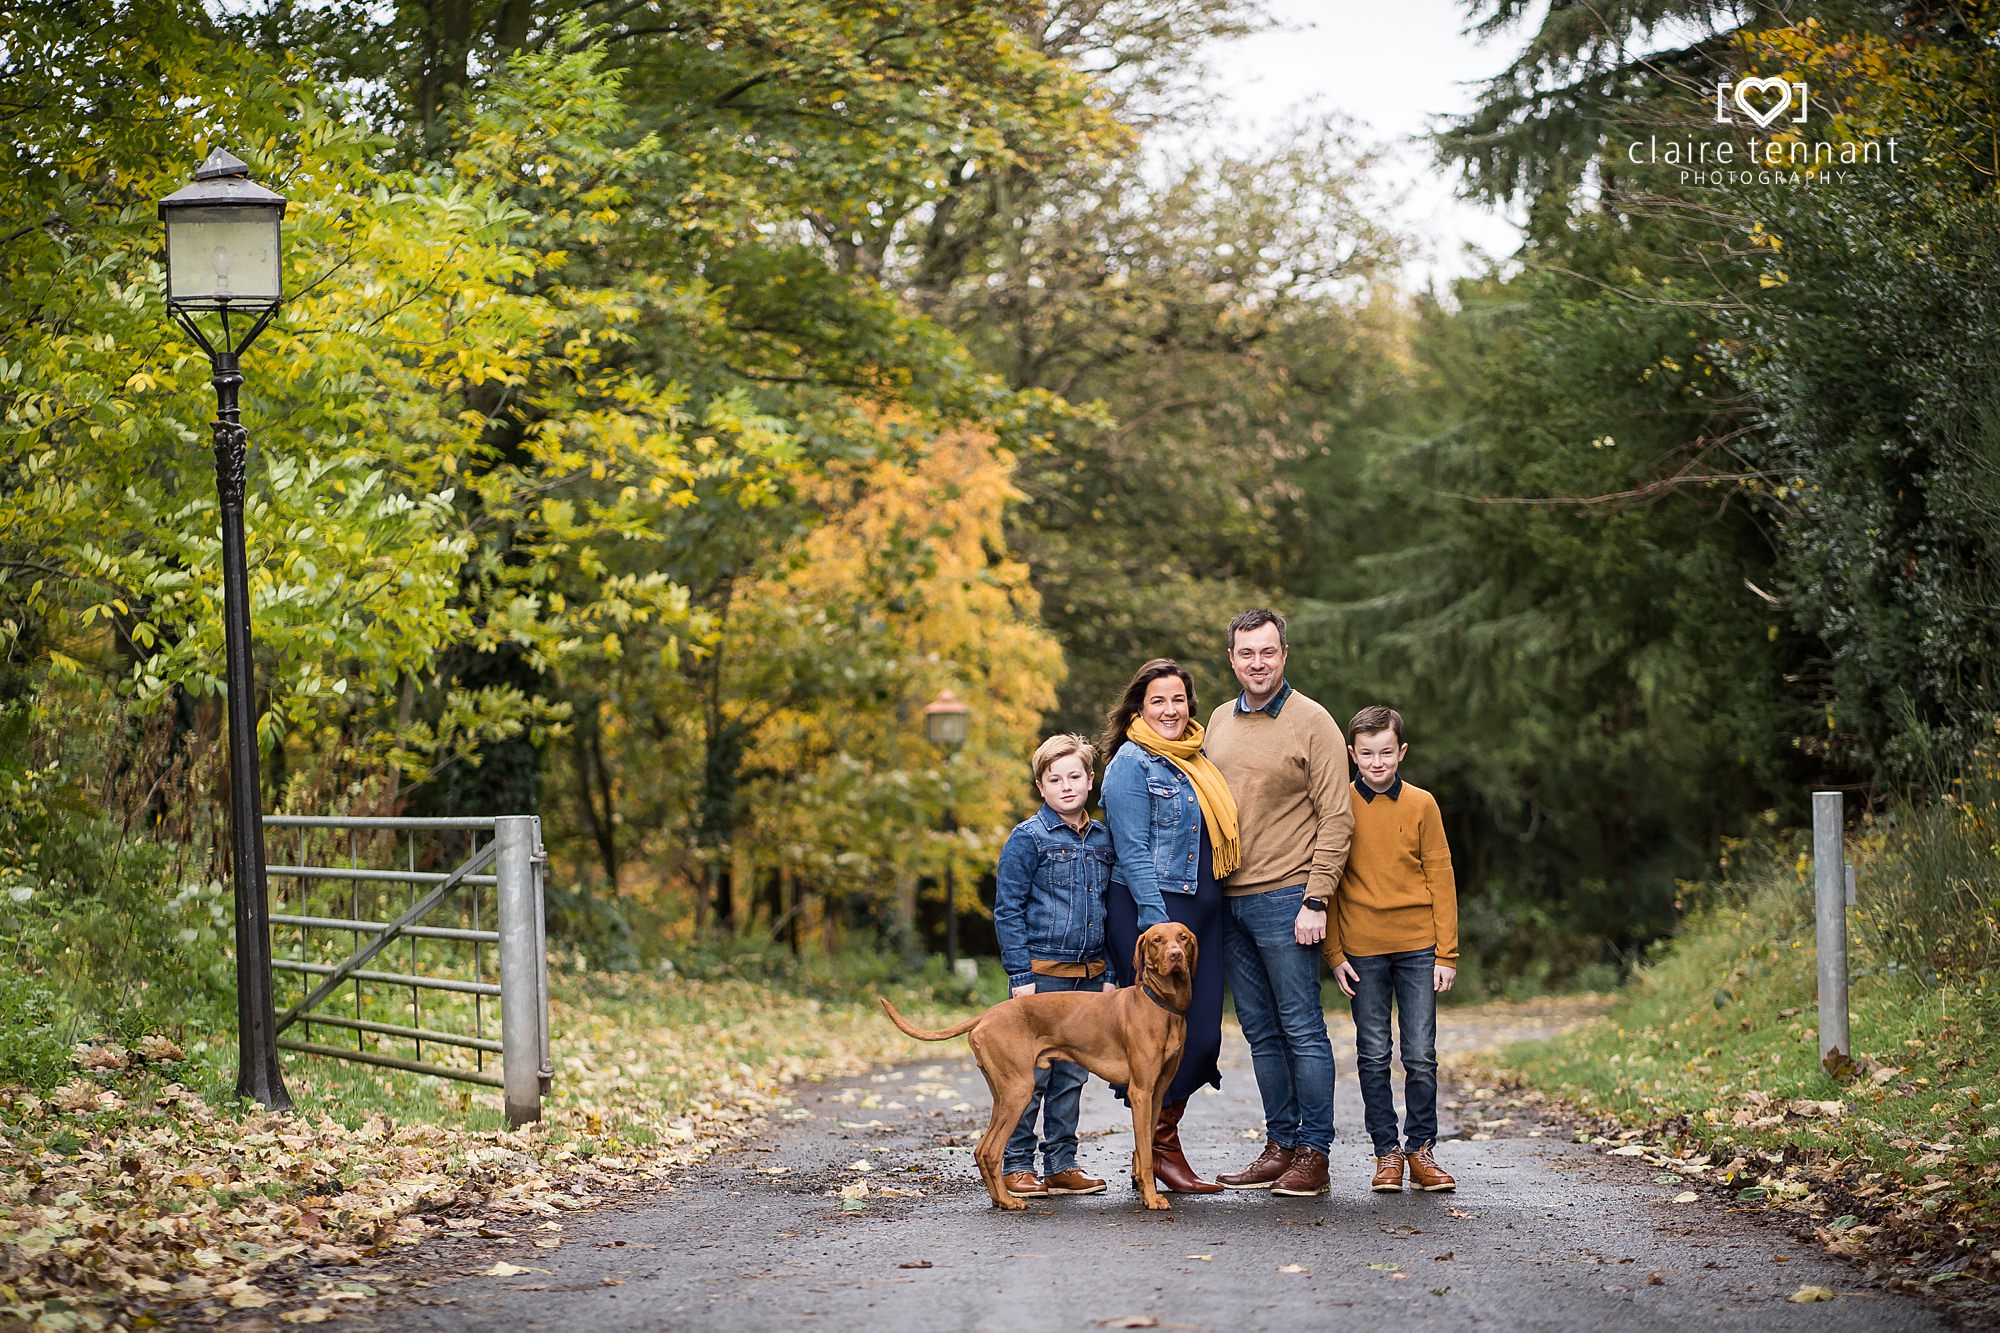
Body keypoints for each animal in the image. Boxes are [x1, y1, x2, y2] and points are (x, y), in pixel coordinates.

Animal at [884, 920, 1192, 1208]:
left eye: (1183, 938)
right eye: (1156, 940)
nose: (1175, 955)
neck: (1160, 1005)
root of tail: (986, 1015)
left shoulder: (1156, 1093)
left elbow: (1146, 1147)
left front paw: (1144, 1190)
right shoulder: (1140, 1092)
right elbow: (1146, 1153)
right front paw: (1151, 1199)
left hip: (1002, 1095)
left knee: (981, 1149)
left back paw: (999, 1199)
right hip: (1019, 1090)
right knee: (992, 1151)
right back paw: (1009, 1201)